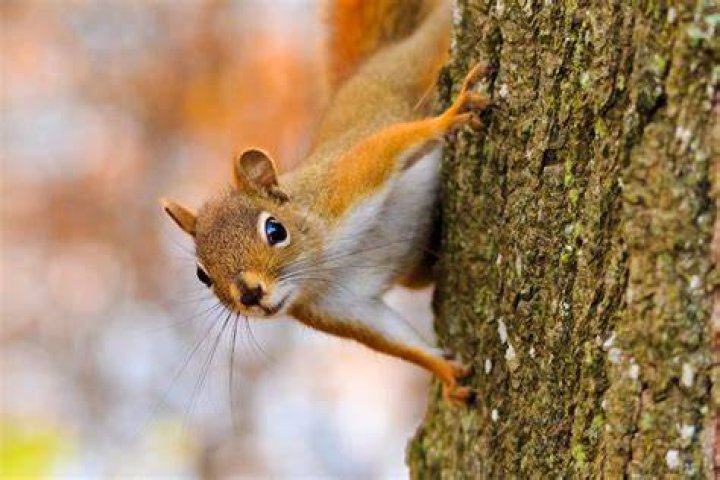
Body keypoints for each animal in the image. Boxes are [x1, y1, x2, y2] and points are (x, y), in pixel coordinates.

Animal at [161, 0, 489, 404]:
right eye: (202, 276)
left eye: (275, 230)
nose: (250, 294)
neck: (323, 264)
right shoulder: (338, 308)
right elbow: (395, 340)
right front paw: (446, 374)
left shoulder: (345, 184)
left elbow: (390, 146)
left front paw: (451, 115)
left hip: (417, 62)